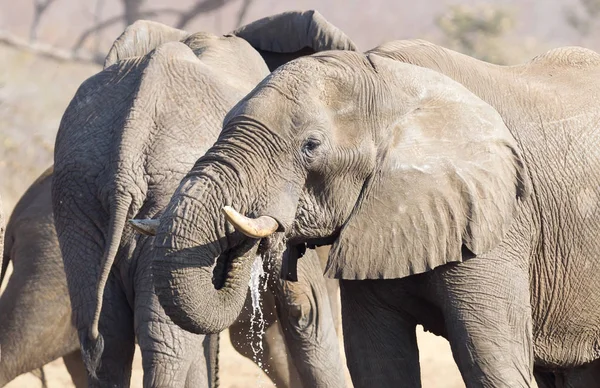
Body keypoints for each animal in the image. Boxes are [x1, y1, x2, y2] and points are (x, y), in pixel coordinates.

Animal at [52, 10, 352, 386]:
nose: (243, 243)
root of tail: (132, 134)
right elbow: (306, 308)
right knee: (166, 340)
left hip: (79, 193)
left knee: (106, 335)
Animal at [143, 40, 600, 388]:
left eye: (311, 146)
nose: (252, 232)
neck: (387, 80)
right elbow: (375, 362)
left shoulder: (498, 223)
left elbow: (491, 364)